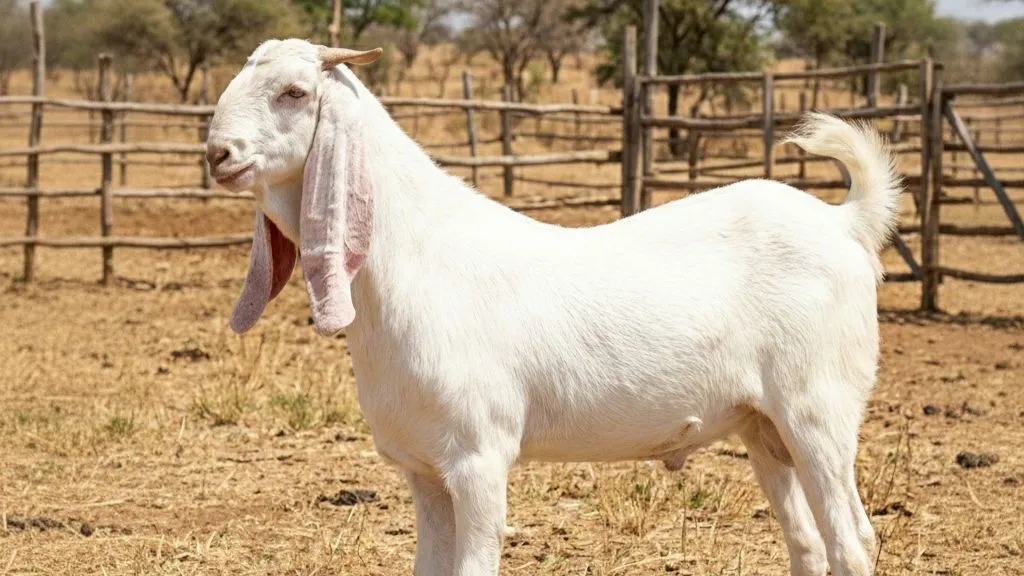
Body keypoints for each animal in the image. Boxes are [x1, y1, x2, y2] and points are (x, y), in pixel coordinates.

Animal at [206, 39, 902, 576]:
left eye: (294, 91)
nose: (217, 154)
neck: (413, 260)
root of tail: (845, 223)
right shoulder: (423, 469)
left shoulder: (478, 458)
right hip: (763, 426)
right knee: (807, 542)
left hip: (819, 410)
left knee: (851, 540)